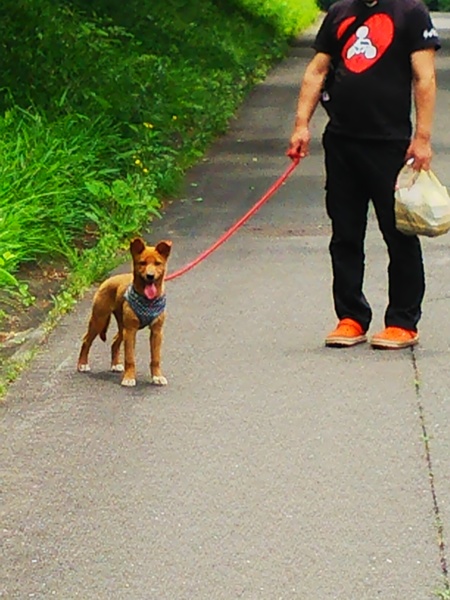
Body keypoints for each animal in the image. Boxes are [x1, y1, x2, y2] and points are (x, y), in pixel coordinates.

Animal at [77, 237, 172, 386]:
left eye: (158, 263)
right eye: (142, 263)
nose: (150, 276)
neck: (147, 301)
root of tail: (107, 281)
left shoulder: (157, 331)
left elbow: (155, 358)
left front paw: (157, 376)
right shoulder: (131, 330)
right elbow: (130, 358)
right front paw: (129, 378)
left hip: (122, 326)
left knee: (115, 342)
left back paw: (115, 364)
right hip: (100, 319)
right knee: (86, 340)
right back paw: (82, 364)